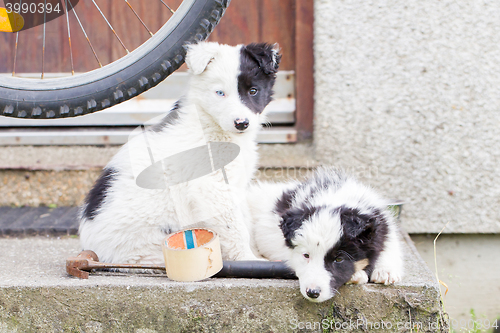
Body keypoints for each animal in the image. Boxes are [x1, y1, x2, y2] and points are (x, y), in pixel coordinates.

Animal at [78, 41, 282, 264]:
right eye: (220, 93)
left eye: (253, 91)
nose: (242, 123)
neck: (209, 121)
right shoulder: (214, 187)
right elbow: (235, 227)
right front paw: (248, 259)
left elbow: (245, 220)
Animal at [248, 167, 404, 302]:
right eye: (306, 255)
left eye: (339, 259)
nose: (313, 293)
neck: (337, 197)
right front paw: (357, 275)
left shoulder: (382, 224)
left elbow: (390, 244)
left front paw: (386, 271)